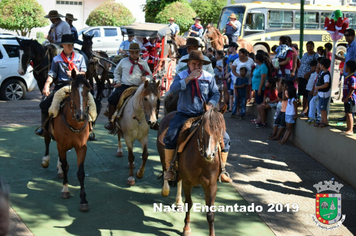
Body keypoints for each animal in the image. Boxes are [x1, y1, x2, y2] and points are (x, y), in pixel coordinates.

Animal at [156, 103, 228, 236]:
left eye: (220, 130)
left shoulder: (211, 185)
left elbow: (210, 213)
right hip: (164, 157)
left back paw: (178, 202)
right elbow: (189, 203)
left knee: (177, 179)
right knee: (166, 170)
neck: (201, 161)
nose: (209, 154)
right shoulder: (187, 182)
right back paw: (165, 189)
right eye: (204, 129)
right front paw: (186, 228)